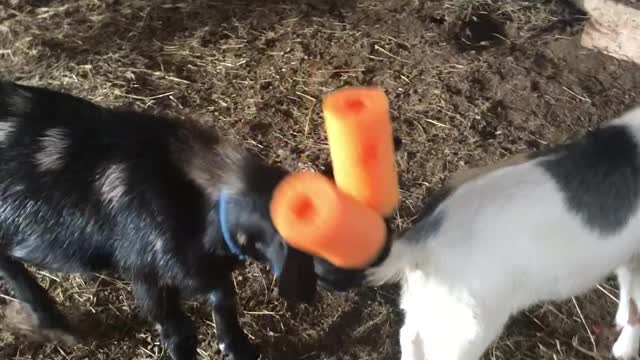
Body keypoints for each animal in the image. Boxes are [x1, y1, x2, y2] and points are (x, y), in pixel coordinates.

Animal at [0, 81, 318, 360]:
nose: (306, 293)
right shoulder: (145, 274)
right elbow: (179, 332)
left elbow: (224, 296)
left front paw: (239, 348)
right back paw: (57, 325)